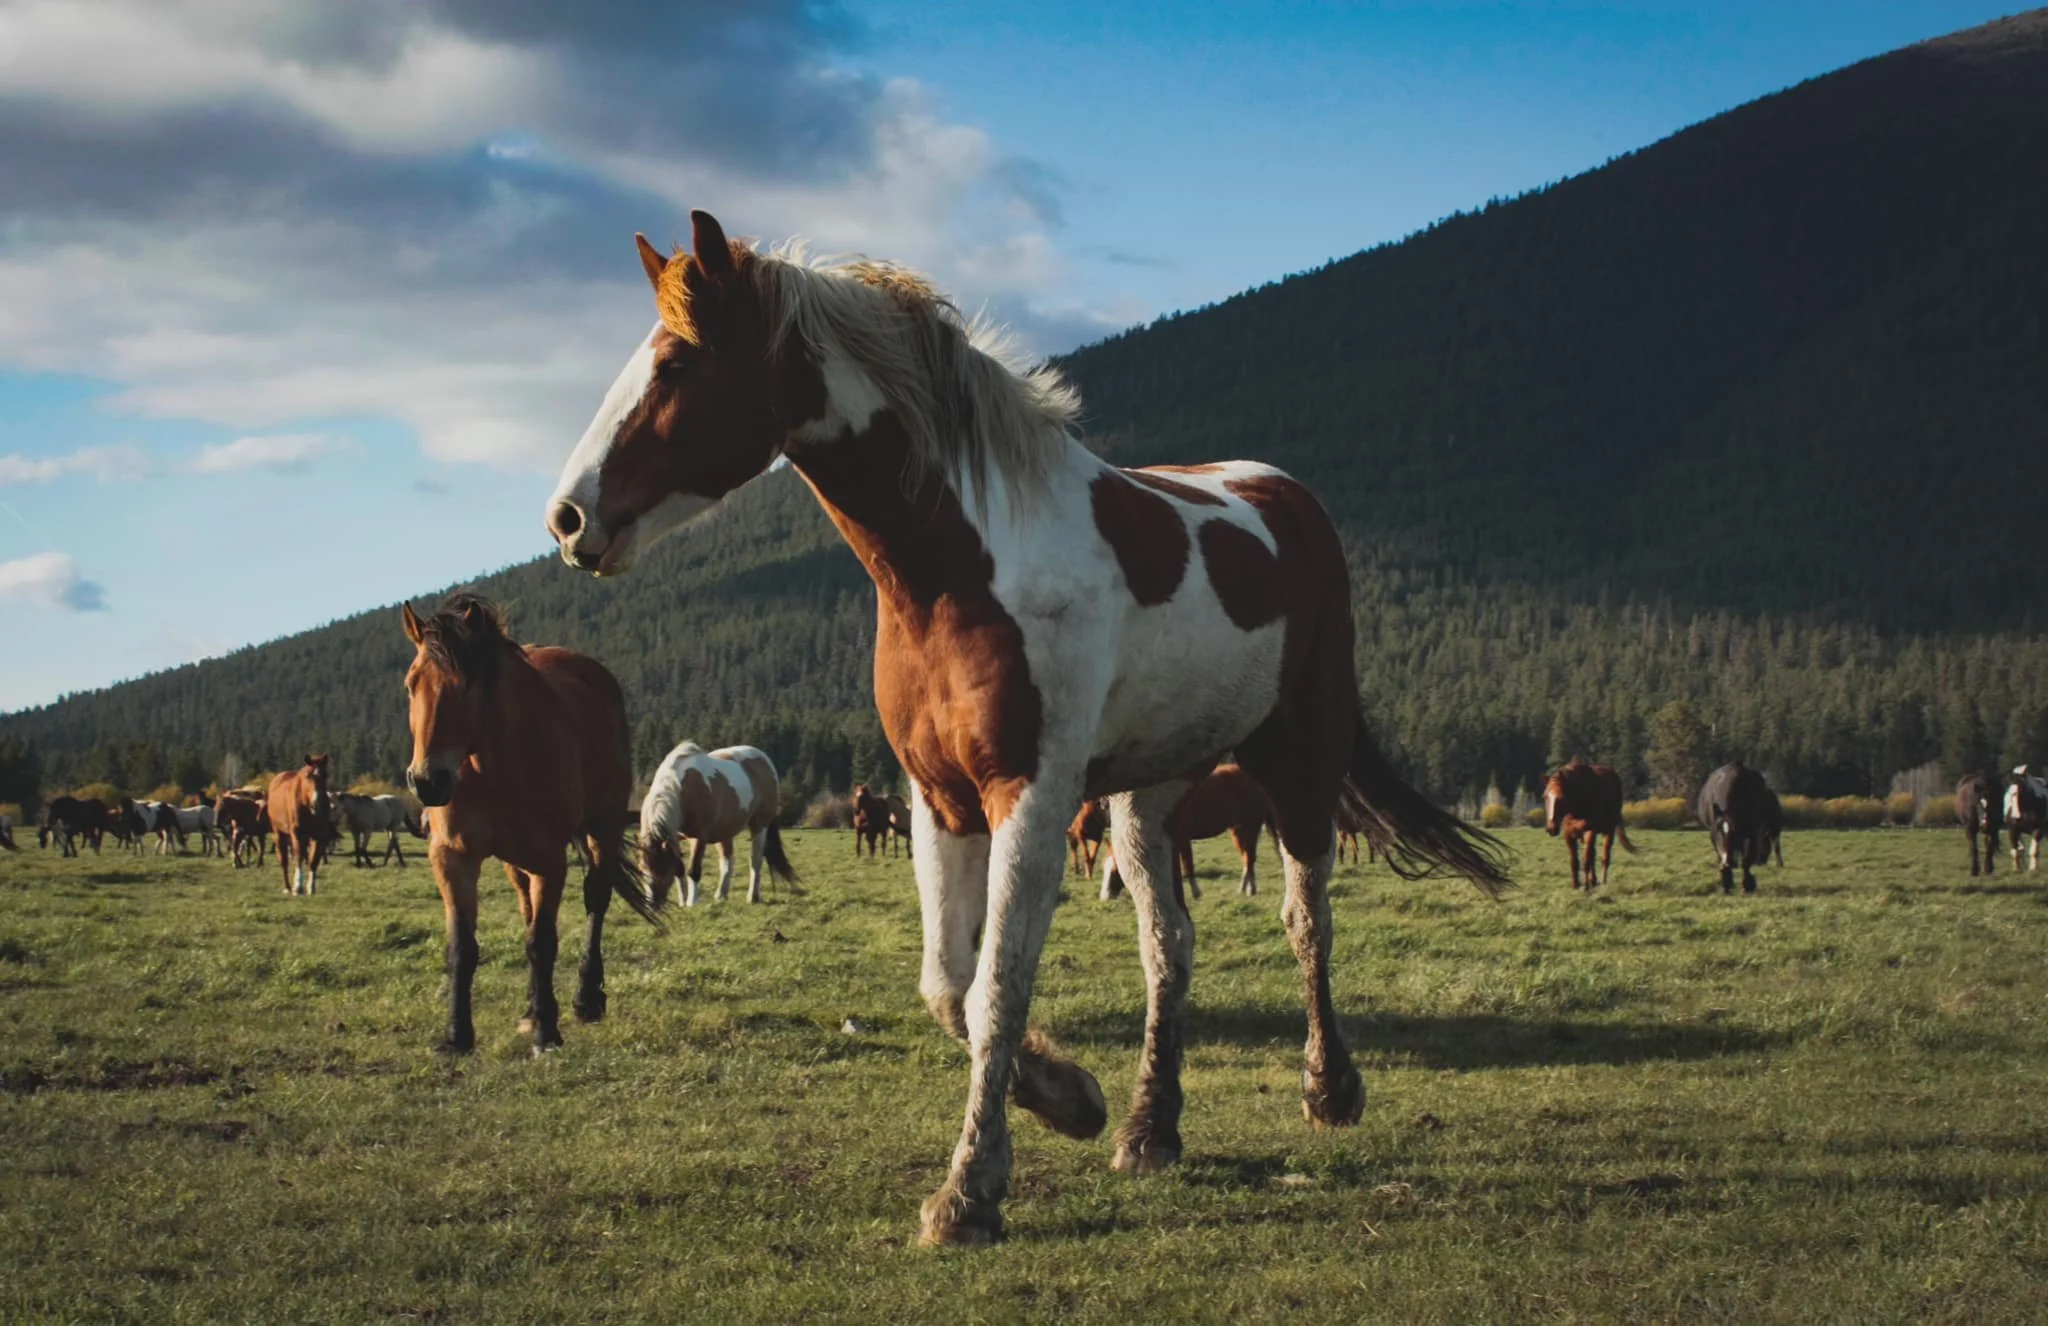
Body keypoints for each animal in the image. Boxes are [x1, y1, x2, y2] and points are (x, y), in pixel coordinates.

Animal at [401, 593, 662, 1054]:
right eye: (411, 684)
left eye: (466, 685)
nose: (428, 781)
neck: (490, 766)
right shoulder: (453, 859)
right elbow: (462, 947)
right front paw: (457, 1035)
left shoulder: (549, 862)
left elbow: (541, 943)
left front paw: (547, 1031)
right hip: (516, 862)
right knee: (526, 908)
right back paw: (530, 1006)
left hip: (603, 829)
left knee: (596, 901)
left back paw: (586, 999)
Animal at [639, 741, 798, 906]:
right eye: (642, 870)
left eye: (661, 870)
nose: (651, 904)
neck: (680, 789)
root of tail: (764, 760)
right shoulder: (673, 837)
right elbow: (679, 869)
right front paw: (683, 902)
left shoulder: (698, 838)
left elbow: (693, 870)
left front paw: (691, 903)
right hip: (725, 831)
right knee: (727, 862)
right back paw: (721, 894)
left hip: (759, 826)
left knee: (756, 861)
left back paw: (752, 897)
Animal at [1543, 758, 1635, 891]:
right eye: (1545, 797)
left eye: (1561, 797)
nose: (1551, 828)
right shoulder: (1569, 835)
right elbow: (1575, 861)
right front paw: (1576, 885)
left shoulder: (1590, 831)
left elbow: (1586, 860)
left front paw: (1586, 886)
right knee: (1593, 855)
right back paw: (1593, 880)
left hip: (1609, 830)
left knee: (1605, 857)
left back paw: (1603, 882)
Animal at [1697, 761, 1780, 894]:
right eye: (1719, 830)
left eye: (1736, 829)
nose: (1729, 862)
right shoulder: (1713, 834)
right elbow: (1721, 855)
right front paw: (1726, 883)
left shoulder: (1753, 831)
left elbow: (1747, 859)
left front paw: (1747, 885)